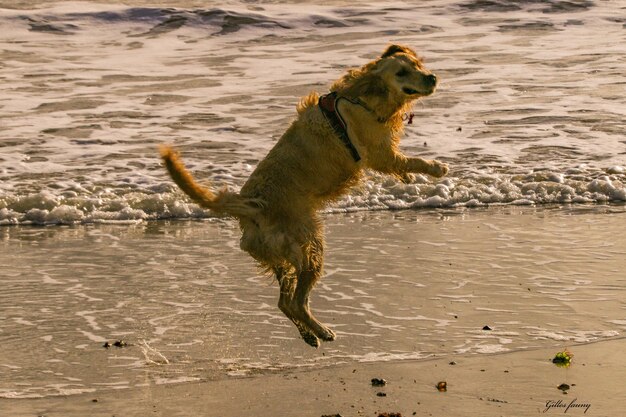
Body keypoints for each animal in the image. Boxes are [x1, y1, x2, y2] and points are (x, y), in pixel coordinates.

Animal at [158, 44, 446, 346]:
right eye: (401, 72)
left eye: (417, 64)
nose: (432, 77)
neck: (362, 96)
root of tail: (252, 207)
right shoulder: (380, 153)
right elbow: (410, 160)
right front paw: (435, 168)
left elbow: (403, 165)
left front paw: (409, 178)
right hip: (309, 247)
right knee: (296, 301)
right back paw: (321, 331)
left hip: (278, 256)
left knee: (285, 303)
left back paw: (309, 334)